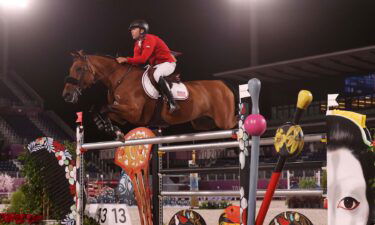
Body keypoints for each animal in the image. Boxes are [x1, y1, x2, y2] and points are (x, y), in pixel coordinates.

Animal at [62, 50, 236, 133]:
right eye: (70, 69)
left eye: (79, 69)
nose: (66, 95)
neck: (118, 79)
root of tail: (223, 84)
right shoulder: (122, 116)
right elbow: (101, 109)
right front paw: (106, 126)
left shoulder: (133, 112)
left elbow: (105, 107)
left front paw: (108, 127)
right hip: (202, 123)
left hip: (224, 121)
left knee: (234, 123)